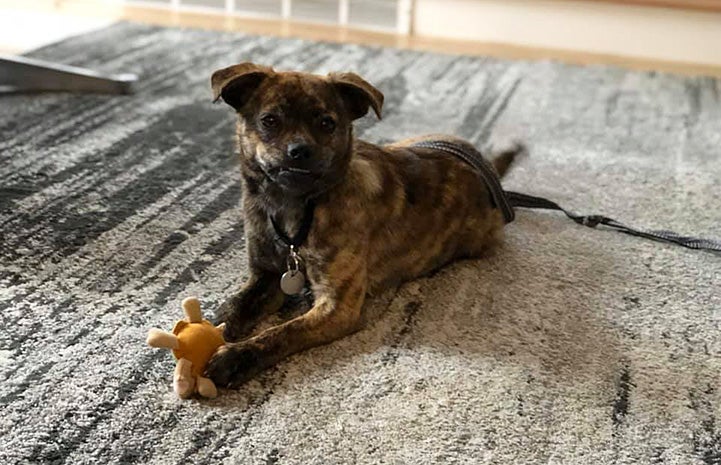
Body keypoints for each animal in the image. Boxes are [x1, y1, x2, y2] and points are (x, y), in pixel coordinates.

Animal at [205, 62, 520, 388]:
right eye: (269, 121)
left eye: (327, 123)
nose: (300, 150)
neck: (294, 205)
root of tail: (486, 168)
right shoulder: (265, 274)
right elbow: (237, 304)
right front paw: (216, 325)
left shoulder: (338, 307)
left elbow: (283, 332)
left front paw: (235, 357)